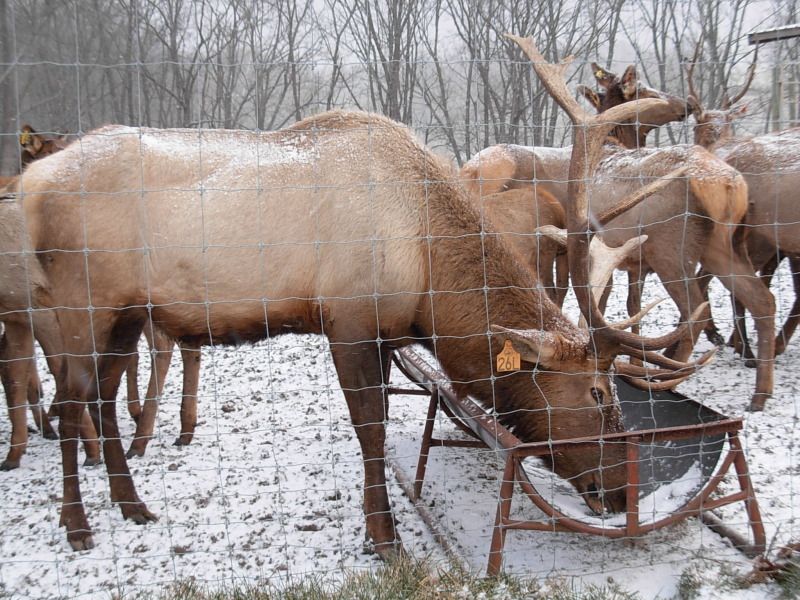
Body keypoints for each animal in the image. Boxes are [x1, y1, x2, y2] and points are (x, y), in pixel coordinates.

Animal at [13, 101, 707, 553]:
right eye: (596, 393)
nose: (621, 491)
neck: (428, 274)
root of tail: (30, 185)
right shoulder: (349, 318)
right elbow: (369, 429)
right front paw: (383, 536)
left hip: (126, 314)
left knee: (101, 399)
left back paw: (132, 506)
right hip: (81, 303)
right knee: (71, 405)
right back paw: (77, 526)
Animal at [463, 50, 776, 412]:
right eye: (641, 88)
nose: (685, 103)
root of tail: (727, 182)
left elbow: (609, 303)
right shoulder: (603, 255)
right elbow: (614, 304)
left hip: (706, 248)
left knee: (748, 301)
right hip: (679, 249)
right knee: (716, 307)